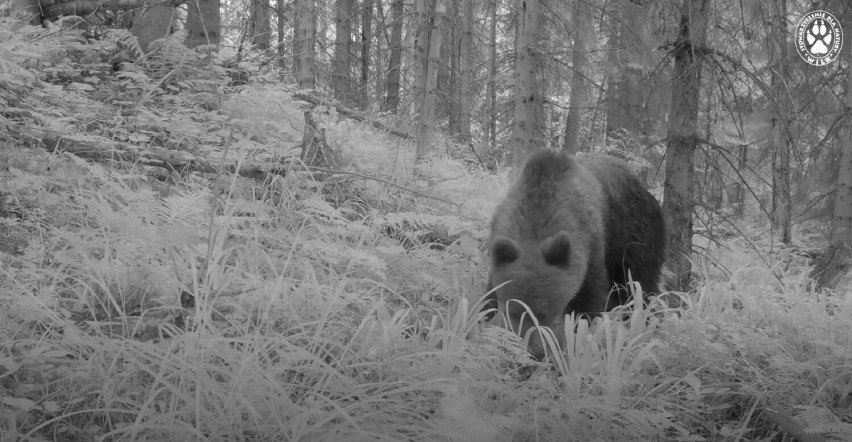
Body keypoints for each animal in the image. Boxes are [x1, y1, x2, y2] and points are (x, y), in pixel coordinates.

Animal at [486, 150, 664, 360]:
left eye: (547, 313)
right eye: (511, 311)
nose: (532, 351)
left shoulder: (591, 247)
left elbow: (589, 302)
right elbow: (487, 296)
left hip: (635, 238)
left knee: (639, 285)